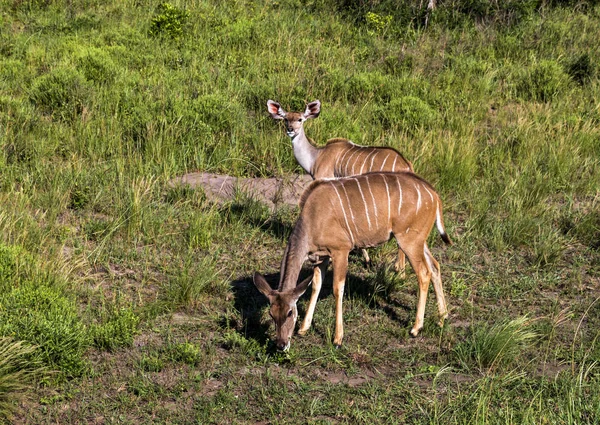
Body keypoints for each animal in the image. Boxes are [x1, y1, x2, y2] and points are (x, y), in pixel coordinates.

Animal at [251, 171, 452, 350]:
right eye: (271, 314)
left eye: (290, 312)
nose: (281, 345)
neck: (313, 216)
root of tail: (434, 195)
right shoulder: (321, 258)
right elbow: (315, 285)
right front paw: (303, 329)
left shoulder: (341, 251)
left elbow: (337, 289)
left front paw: (337, 339)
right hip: (419, 241)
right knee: (435, 266)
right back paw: (442, 317)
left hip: (408, 241)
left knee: (424, 273)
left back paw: (416, 328)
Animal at [268, 99, 414, 272]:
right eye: (285, 119)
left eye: (300, 119)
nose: (290, 130)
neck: (316, 157)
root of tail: (407, 165)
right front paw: (366, 259)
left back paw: (399, 269)